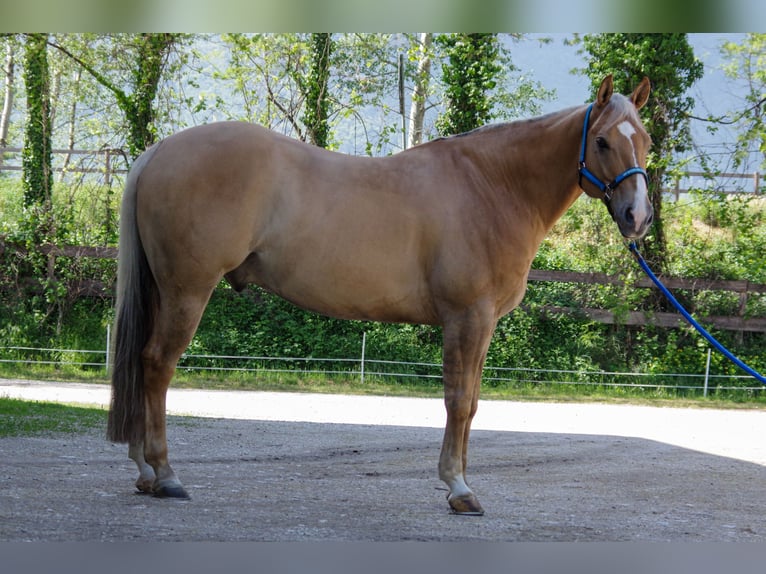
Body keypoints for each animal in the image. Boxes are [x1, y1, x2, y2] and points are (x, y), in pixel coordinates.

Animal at [108, 74, 652, 515]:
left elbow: (474, 402)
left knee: (140, 361)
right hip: (187, 290)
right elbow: (458, 401)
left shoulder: (483, 324)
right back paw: (165, 475)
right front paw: (458, 488)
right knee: (157, 365)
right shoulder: (468, 318)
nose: (638, 217)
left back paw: (144, 473)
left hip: (163, 291)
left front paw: (461, 479)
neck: (492, 185)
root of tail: (158, 152)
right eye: (602, 141)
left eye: (645, 141)